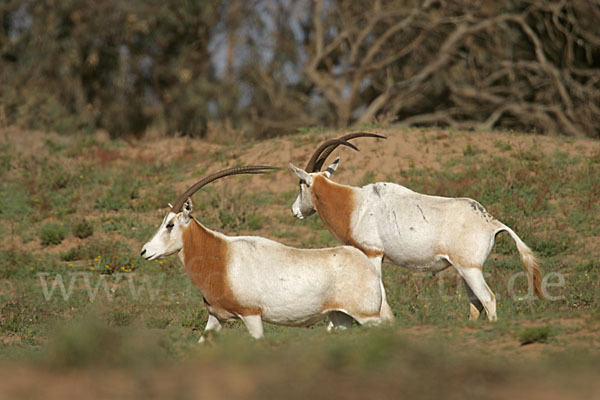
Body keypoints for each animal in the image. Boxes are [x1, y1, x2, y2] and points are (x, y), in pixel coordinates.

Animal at [139, 166, 390, 340]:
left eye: (170, 225)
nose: (144, 251)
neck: (220, 255)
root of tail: (366, 264)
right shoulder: (216, 317)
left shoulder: (251, 316)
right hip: (341, 318)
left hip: (368, 316)